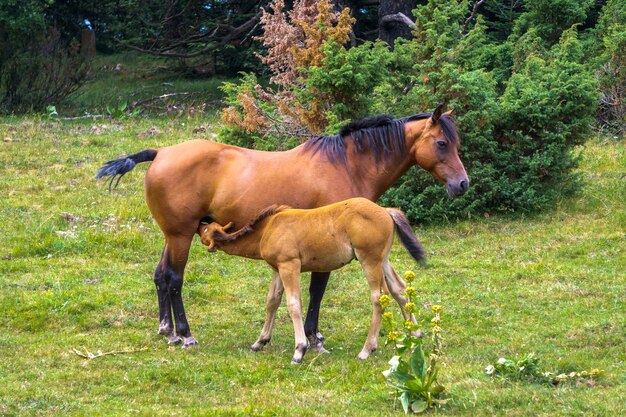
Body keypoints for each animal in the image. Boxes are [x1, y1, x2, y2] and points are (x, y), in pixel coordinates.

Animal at [200, 197, 424, 362]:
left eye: (205, 231)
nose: (200, 223)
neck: (268, 228)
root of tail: (385, 211)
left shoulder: (290, 266)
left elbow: (294, 304)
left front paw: (299, 350)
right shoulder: (278, 269)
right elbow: (272, 301)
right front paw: (260, 341)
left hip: (369, 259)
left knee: (379, 297)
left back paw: (367, 349)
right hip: (382, 260)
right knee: (399, 289)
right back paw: (415, 333)